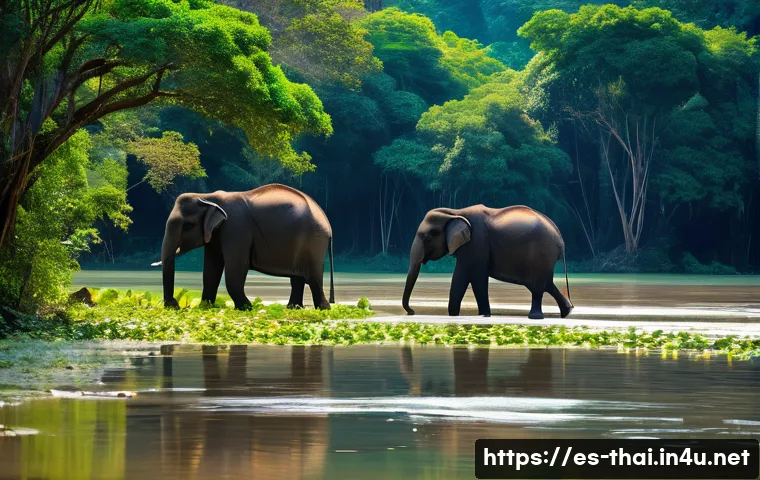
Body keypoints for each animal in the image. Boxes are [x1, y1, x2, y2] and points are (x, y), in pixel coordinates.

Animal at [153, 184, 335, 311]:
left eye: (188, 226)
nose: (174, 305)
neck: (207, 197)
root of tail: (327, 223)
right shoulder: (217, 233)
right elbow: (211, 268)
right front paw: (206, 307)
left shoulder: (236, 229)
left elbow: (237, 266)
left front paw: (246, 308)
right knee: (297, 277)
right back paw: (293, 308)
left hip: (314, 240)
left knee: (312, 277)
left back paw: (323, 309)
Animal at [401, 205, 573, 319]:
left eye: (426, 237)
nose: (412, 312)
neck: (455, 213)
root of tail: (561, 239)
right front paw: (480, 315)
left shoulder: (476, 244)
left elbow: (469, 277)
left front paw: (481, 315)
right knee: (547, 284)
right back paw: (567, 311)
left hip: (541, 254)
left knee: (538, 287)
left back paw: (535, 317)